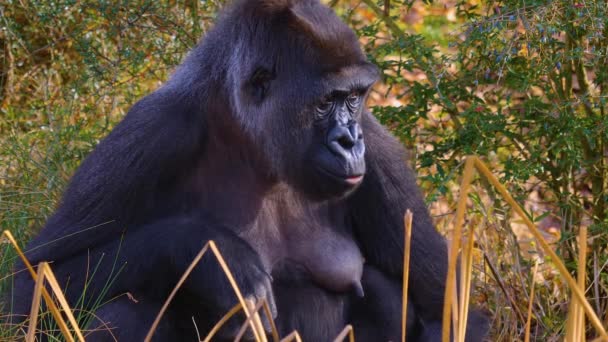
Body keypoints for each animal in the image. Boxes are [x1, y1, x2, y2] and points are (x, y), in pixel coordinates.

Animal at [8, 0, 490, 340]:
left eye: (354, 98)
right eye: (326, 102)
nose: (350, 141)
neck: (249, 136)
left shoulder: (381, 151)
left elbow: (450, 311)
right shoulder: (155, 130)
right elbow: (28, 289)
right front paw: (209, 253)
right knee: (123, 307)